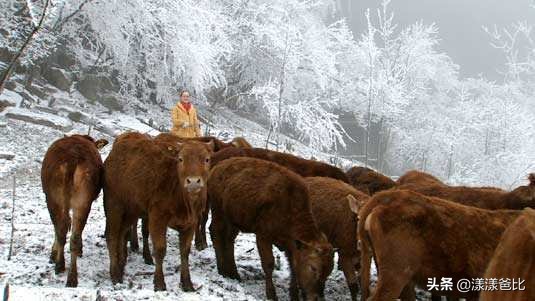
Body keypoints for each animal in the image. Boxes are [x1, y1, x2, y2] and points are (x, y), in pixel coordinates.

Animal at [42, 134, 109, 286]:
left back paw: (62, 266)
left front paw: (53, 254)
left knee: (62, 229)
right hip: (78, 200)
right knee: (71, 234)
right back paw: (70, 276)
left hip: (57, 198)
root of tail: (72, 158)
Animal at [102, 131, 214, 288]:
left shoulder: (191, 222)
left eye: (207, 159)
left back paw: (121, 266)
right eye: (180, 159)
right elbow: (160, 249)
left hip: (132, 209)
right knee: (111, 235)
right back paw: (115, 274)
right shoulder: (157, 217)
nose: (193, 182)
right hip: (114, 204)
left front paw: (187, 283)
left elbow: (184, 252)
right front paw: (159, 282)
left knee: (121, 233)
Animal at [207, 157, 332, 300]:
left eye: (328, 272)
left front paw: (293, 295)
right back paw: (222, 270)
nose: (317, 297)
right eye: (313, 268)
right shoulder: (263, 237)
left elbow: (293, 268)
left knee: (229, 239)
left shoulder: (290, 245)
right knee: (215, 232)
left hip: (234, 219)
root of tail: (217, 167)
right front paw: (271, 294)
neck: (290, 206)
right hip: (218, 211)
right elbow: (269, 264)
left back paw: (234, 274)